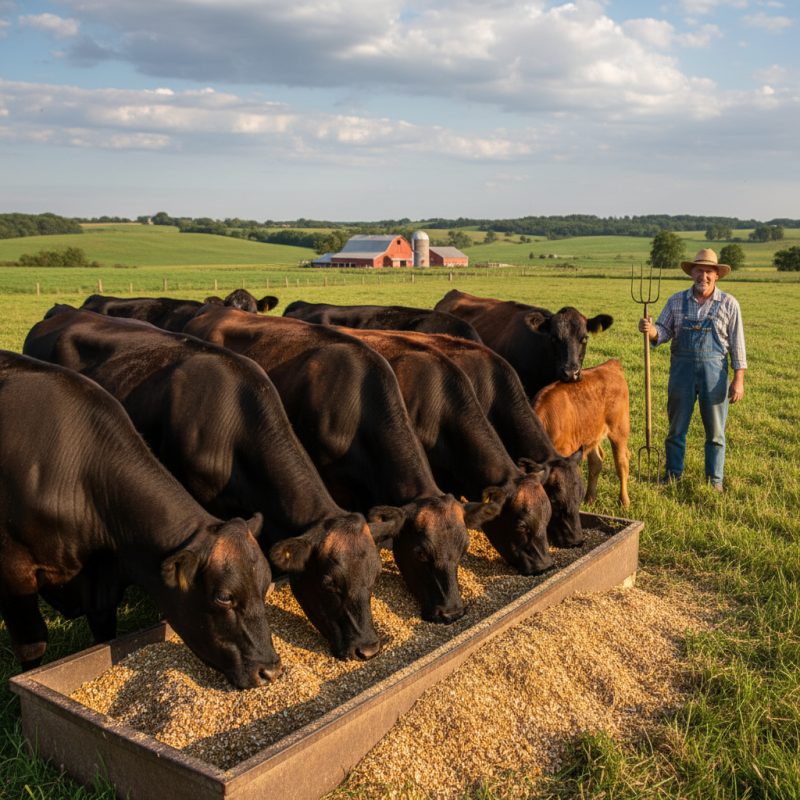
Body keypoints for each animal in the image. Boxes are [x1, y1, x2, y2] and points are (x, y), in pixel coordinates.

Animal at [0, 350, 280, 688]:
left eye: (265, 587)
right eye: (224, 597)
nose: (270, 670)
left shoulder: (102, 589)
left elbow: (104, 634)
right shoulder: (13, 573)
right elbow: (32, 645)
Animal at [533, 360, 631, 508]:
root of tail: (610, 364)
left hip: (620, 429)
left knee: (622, 464)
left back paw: (624, 502)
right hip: (591, 434)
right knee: (596, 462)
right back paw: (590, 499)